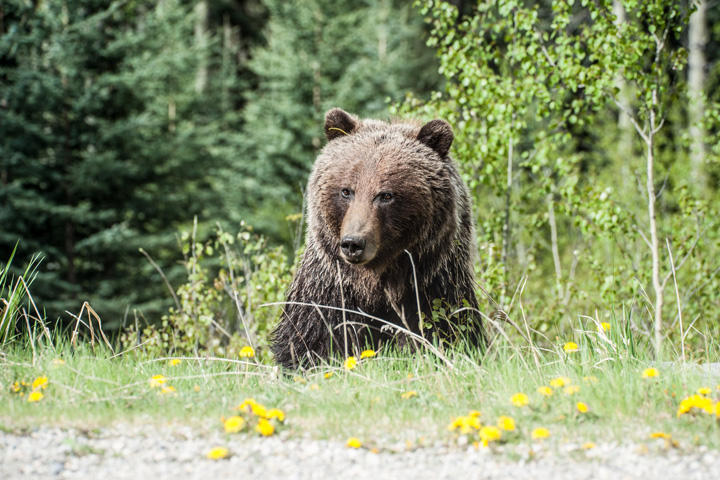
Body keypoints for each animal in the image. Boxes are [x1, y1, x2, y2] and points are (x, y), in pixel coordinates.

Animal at [270, 109, 484, 370]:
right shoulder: (330, 289)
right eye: (346, 191)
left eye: (386, 195)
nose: (353, 243)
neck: (377, 282)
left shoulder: (432, 286)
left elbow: (445, 332)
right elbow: (310, 340)